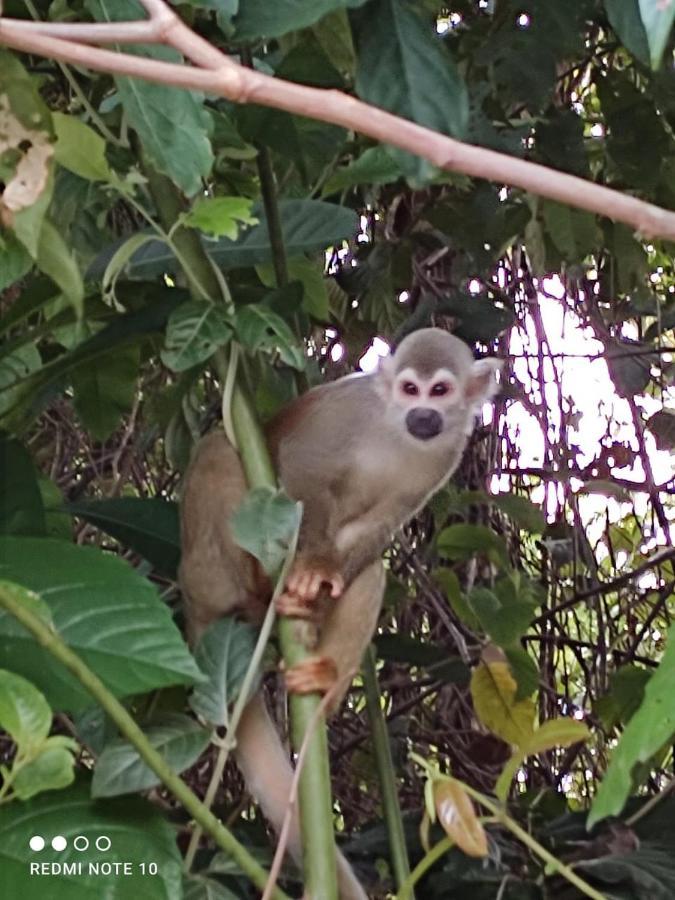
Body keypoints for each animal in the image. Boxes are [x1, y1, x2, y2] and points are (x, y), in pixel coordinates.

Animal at [180, 330, 502, 900]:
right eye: (410, 388)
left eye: (441, 391)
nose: (423, 414)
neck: (397, 433)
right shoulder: (352, 408)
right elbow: (304, 464)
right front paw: (310, 568)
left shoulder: (446, 455)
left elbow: (382, 530)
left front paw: (323, 585)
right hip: (204, 569)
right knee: (219, 449)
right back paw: (262, 582)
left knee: (371, 572)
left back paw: (324, 678)